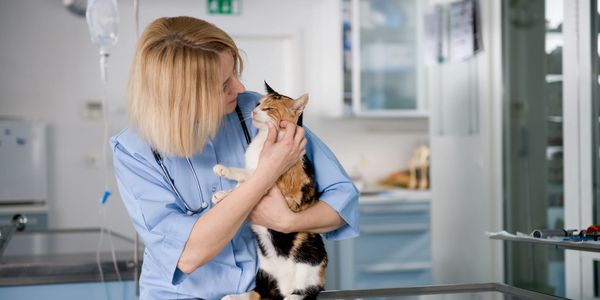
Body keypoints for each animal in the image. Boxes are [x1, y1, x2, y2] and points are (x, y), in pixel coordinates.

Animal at [210, 82, 326, 300]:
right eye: (258, 103)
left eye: (269, 108)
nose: (254, 111)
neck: (264, 141)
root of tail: (283, 287)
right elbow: (241, 187)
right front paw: (222, 195)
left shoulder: (278, 181)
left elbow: (249, 176)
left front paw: (226, 171)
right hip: (264, 273)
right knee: (257, 293)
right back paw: (233, 296)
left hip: (310, 256)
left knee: (308, 291)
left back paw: (292, 297)